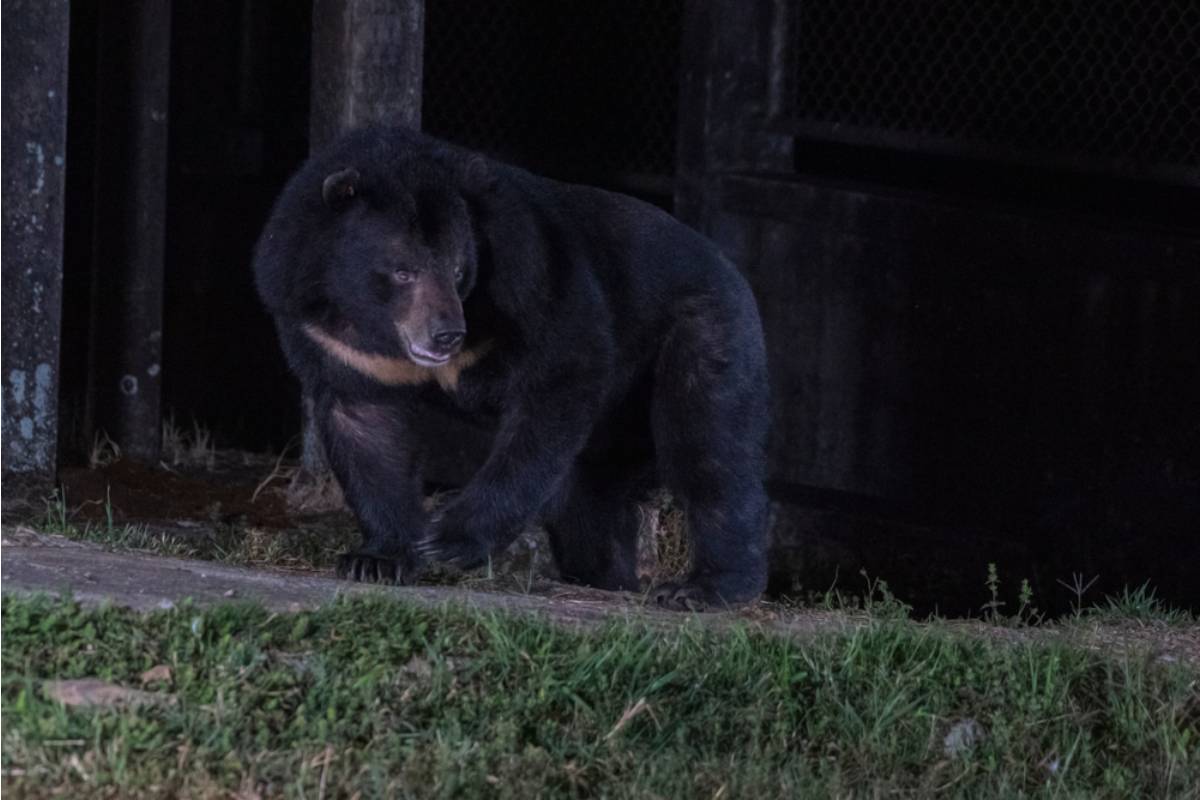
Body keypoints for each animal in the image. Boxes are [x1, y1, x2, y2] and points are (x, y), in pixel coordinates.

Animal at [253, 126, 769, 610]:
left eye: (458, 270)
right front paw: (378, 557)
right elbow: (364, 425)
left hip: (697, 334)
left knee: (707, 447)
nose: (446, 336)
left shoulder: (530, 278)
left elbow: (559, 377)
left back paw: (703, 586)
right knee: (590, 500)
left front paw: (447, 540)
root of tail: (729, 268)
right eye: (403, 271)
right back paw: (606, 575)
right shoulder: (328, 334)